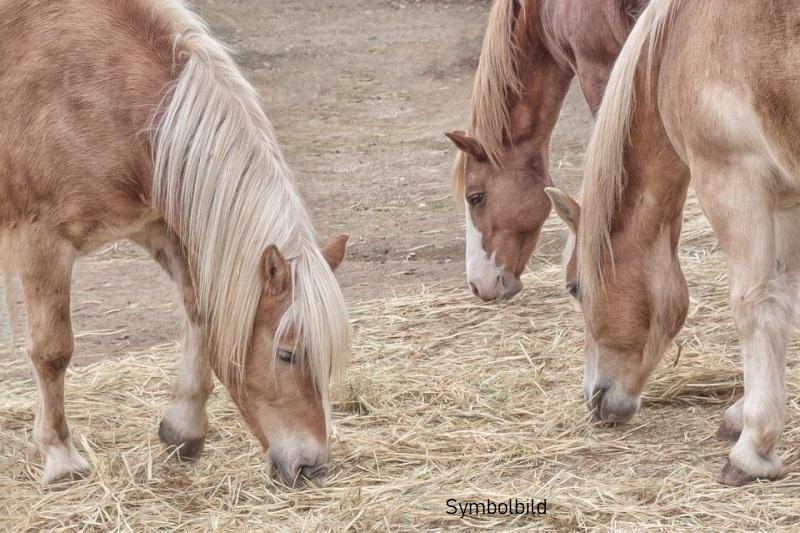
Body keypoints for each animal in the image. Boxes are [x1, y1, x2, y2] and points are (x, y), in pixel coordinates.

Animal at [0, 0, 350, 486]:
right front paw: (59, 456)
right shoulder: (44, 244)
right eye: (286, 354)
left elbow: (199, 312)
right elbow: (53, 351)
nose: (312, 467)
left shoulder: (158, 227)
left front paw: (185, 429)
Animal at [548, 0, 800, 484]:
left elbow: (756, 307)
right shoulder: (785, 197)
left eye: (574, 287)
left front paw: (752, 448)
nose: (595, 399)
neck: (679, 40)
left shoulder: (733, 177)